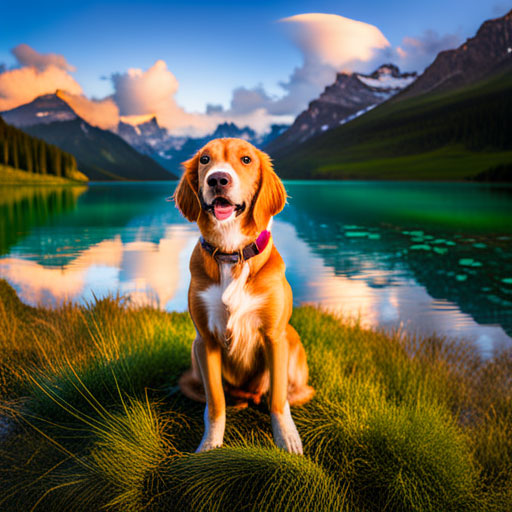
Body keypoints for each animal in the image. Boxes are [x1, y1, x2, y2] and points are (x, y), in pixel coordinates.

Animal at [174, 138, 314, 454]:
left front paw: (287, 439)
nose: (218, 179)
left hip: (292, 339)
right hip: (192, 355)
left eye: (247, 159)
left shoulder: (274, 336)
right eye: (205, 159)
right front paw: (210, 446)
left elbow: (278, 400)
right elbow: (216, 403)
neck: (231, 252)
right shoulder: (205, 340)